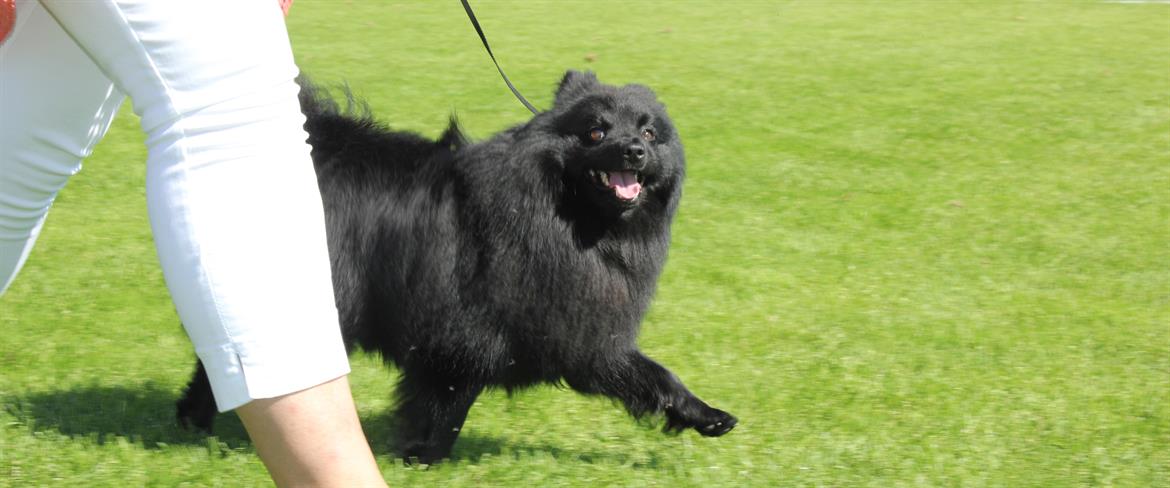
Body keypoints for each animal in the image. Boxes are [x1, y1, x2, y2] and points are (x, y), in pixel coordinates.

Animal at [176, 70, 734, 461]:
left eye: (650, 133)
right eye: (595, 133)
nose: (634, 150)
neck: (570, 224)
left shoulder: (581, 332)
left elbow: (648, 375)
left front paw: (704, 414)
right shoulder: (461, 337)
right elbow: (444, 407)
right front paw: (420, 458)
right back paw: (197, 422)